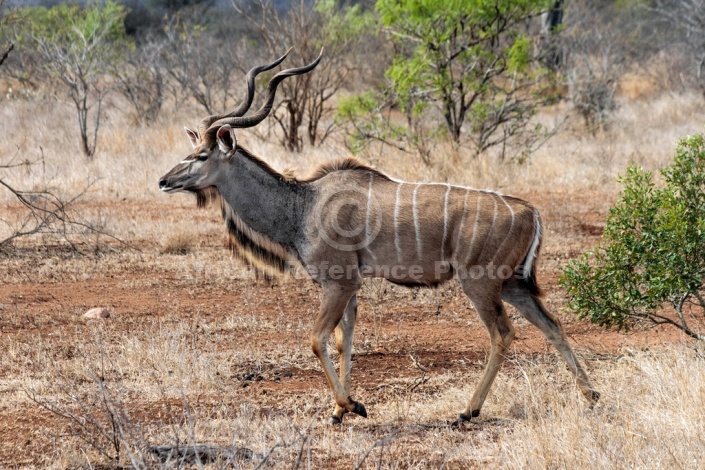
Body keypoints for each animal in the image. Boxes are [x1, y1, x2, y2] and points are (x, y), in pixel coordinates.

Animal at [160, 49, 600, 424]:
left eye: (201, 156)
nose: (164, 180)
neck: (302, 205)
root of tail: (531, 212)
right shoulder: (349, 286)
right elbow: (345, 341)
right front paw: (340, 410)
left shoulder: (338, 282)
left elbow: (318, 339)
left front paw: (351, 405)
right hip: (513, 285)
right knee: (552, 325)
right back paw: (591, 395)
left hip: (480, 283)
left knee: (503, 334)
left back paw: (467, 410)